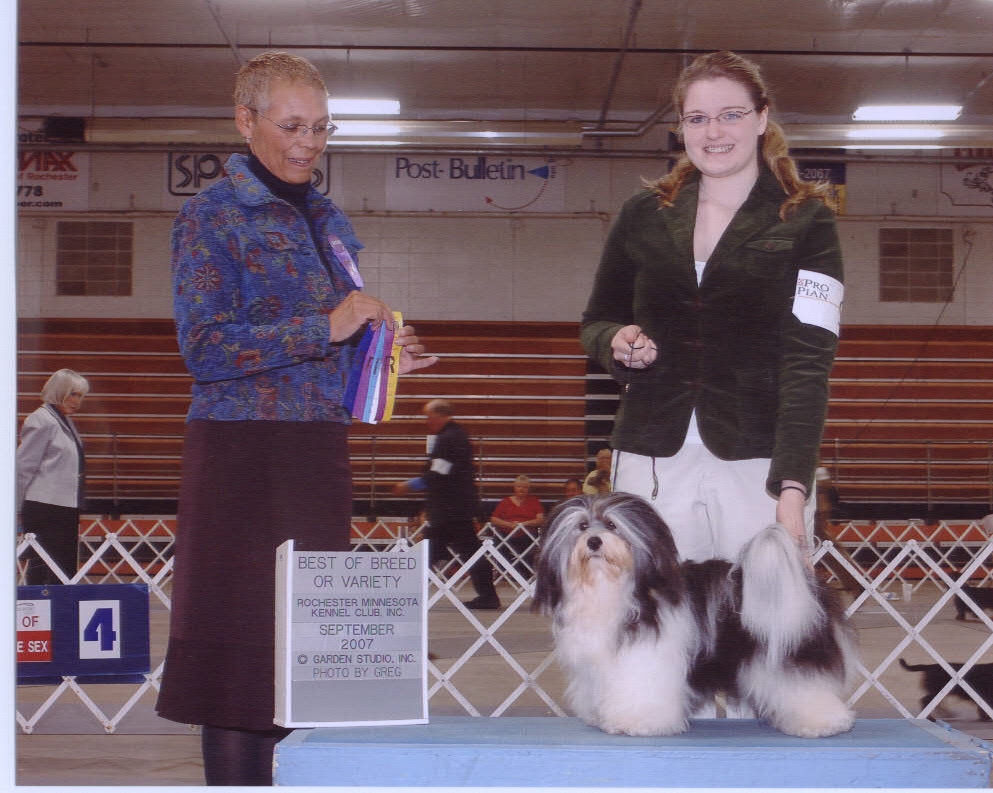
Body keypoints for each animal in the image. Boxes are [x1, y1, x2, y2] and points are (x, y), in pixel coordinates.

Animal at [532, 492, 856, 740]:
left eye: (612, 525)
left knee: (805, 687)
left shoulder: (645, 658)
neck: (608, 586)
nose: (594, 541)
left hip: (791, 652)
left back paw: (822, 722)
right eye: (583, 525)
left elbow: (640, 691)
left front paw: (636, 722)